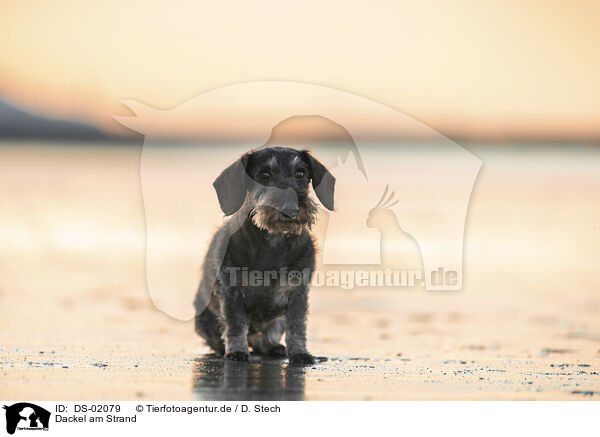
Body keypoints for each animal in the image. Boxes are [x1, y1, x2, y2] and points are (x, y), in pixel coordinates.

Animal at [192, 146, 332, 364]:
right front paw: (236, 351)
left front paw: (300, 353)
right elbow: (235, 325)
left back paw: (274, 348)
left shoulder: (298, 293)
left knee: (265, 338)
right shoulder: (232, 293)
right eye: (265, 174)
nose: (291, 208)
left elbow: (297, 326)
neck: (273, 240)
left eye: (300, 172)